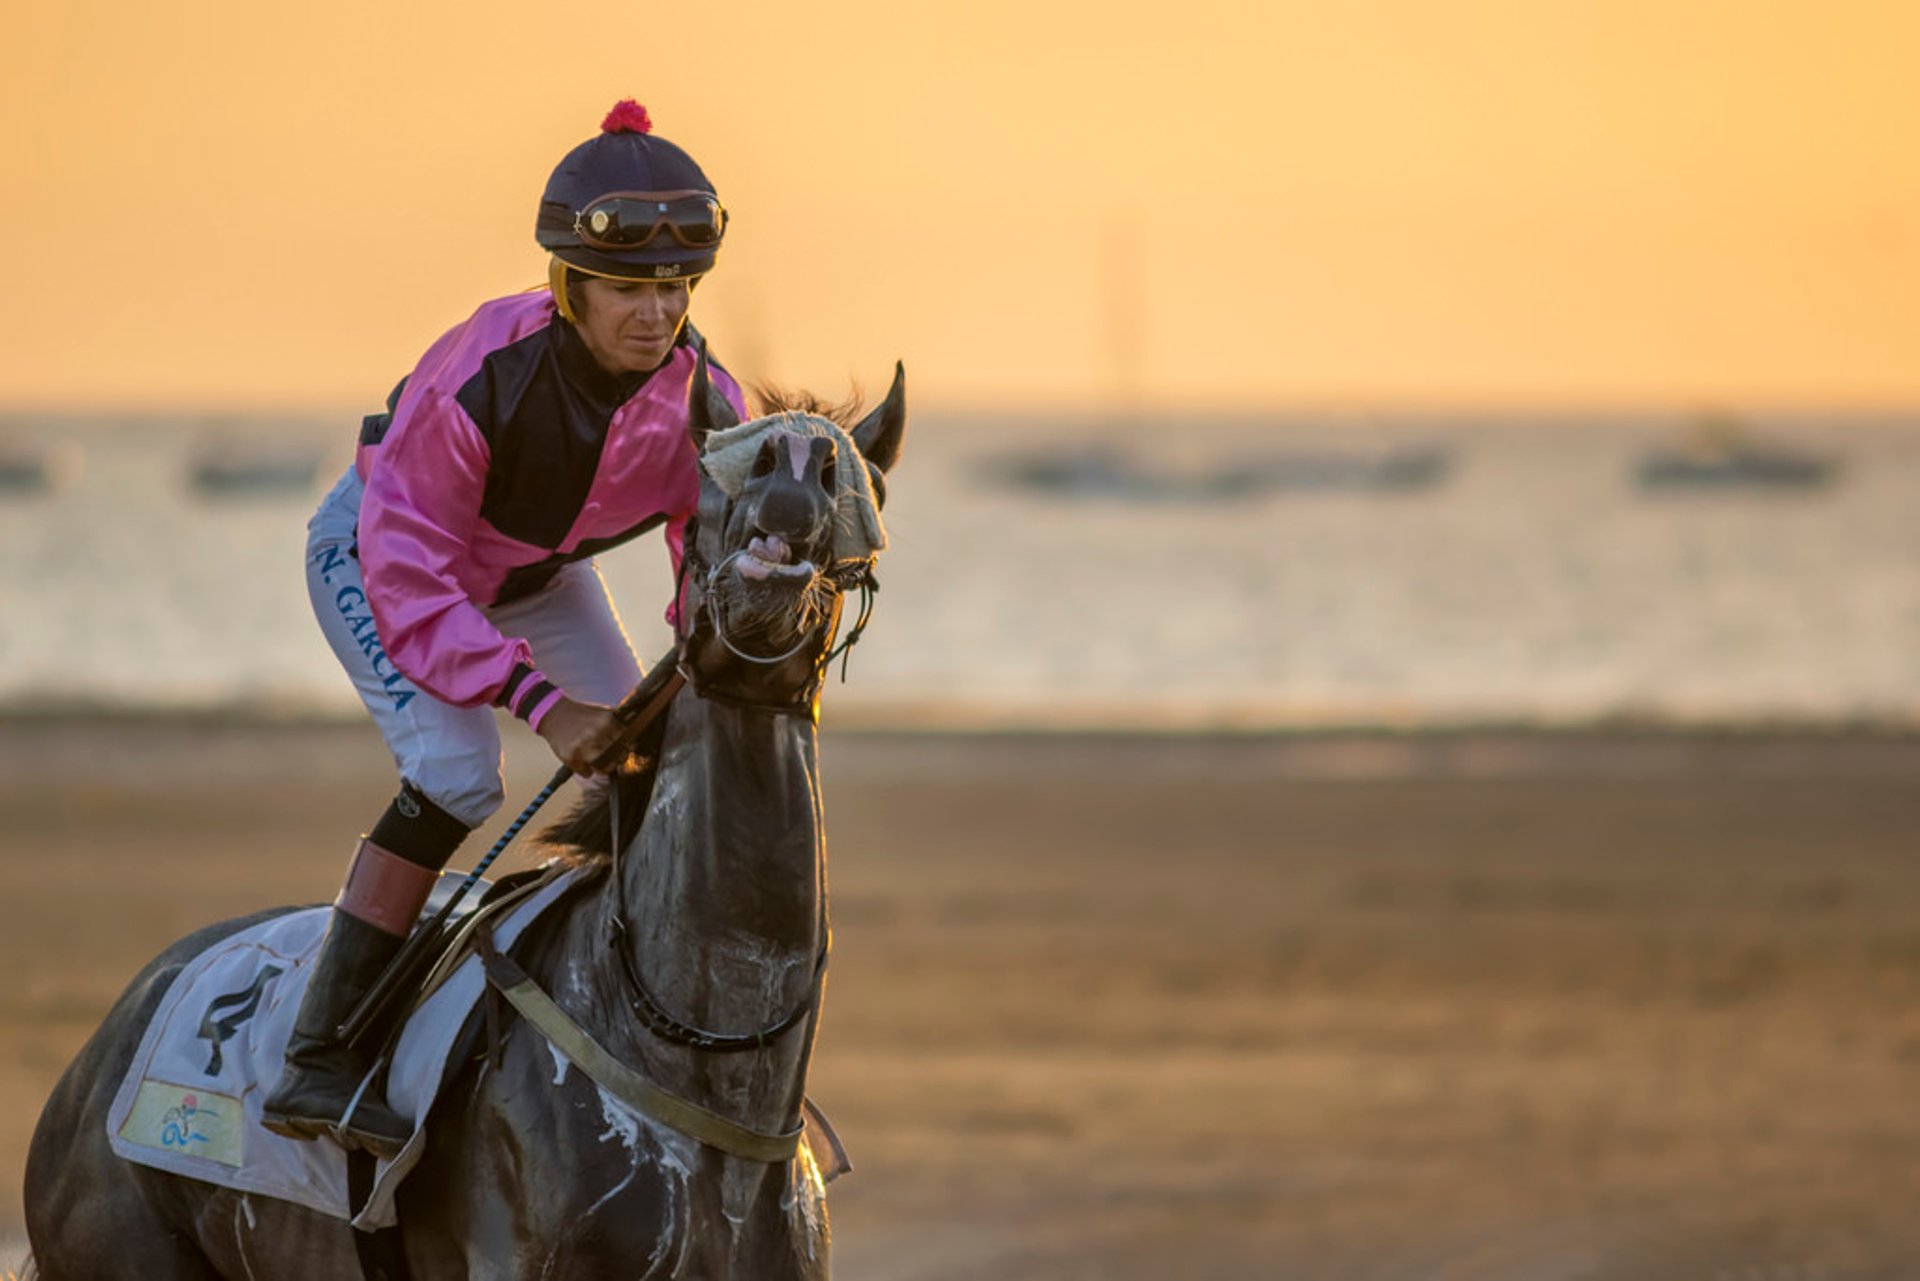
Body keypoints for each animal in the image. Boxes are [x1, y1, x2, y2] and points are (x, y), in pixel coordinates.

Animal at [22, 362, 906, 1281]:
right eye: (706, 487)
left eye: (856, 484)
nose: (794, 468)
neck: (699, 1062)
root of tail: (101, 1044)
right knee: (445, 781)